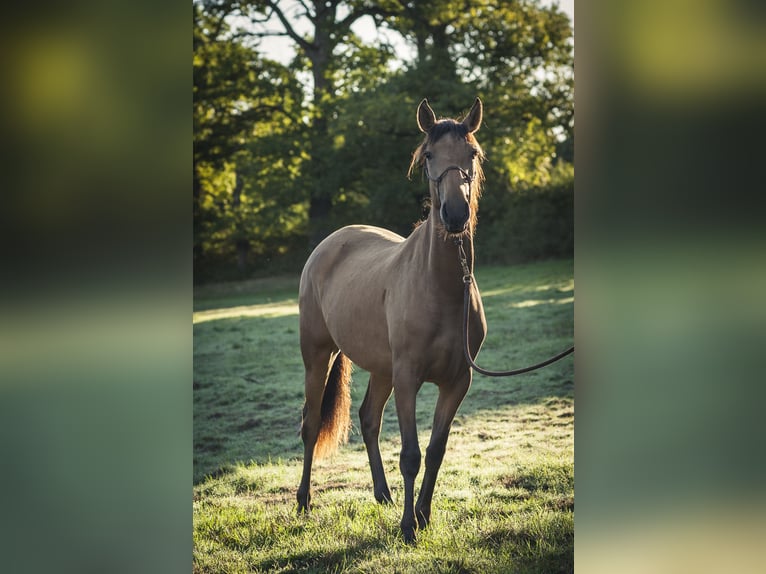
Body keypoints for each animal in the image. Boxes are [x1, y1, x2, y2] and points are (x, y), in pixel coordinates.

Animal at [297, 98, 488, 543]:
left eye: (471, 153)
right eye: (429, 156)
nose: (455, 214)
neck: (439, 288)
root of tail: (329, 243)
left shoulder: (458, 382)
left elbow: (435, 451)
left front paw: (423, 516)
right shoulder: (408, 378)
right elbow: (411, 455)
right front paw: (408, 528)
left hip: (381, 369)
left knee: (368, 419)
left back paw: (382, 494)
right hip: (318, 355)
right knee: (312, 424)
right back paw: (303, 501)